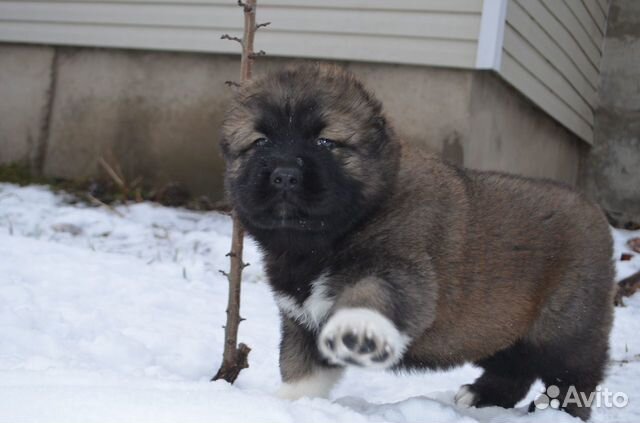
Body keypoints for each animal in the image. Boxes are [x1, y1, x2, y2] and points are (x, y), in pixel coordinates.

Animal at [220, 63, 616, 420]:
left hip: (566, 328)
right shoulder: (301, 320)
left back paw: (557, 411)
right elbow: (301, 369)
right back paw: (481, 395)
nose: (285, 175)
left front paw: (357, 329)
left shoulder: (402, 269)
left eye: (325, 141)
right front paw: (286, 405)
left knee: (574, 376)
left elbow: (372, 294)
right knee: (515, 367)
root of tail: (596, 211)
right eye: (260, 142)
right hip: (498, 325)